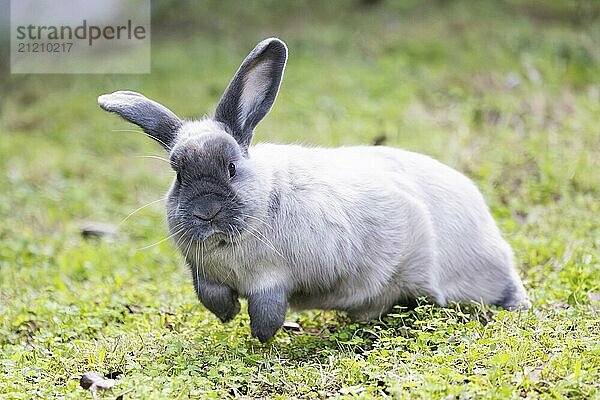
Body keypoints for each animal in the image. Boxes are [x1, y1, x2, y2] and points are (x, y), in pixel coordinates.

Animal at [97, 38, 528, 344]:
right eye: (178, 174)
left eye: (232, 168)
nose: (206, 211)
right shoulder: (204, 274)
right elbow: (210, 295)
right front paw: (227, 315)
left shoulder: (275, 279)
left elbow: (268, 308)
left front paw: (261, 338)